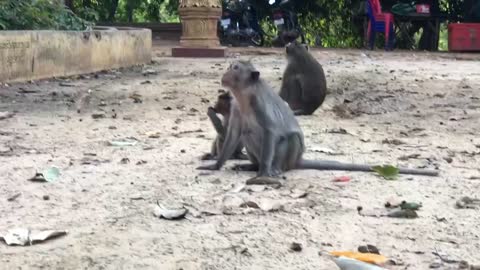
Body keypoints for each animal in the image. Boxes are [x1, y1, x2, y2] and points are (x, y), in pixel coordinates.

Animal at [197, 60, 440, 179]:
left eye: (235, 68)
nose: (225, 73)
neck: (244, 95)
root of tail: (297, 161)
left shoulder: (258, 105)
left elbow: (272, 131)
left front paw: (265, 171)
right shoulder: (237, 108)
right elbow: (234, 135)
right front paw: (216, 165)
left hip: (290, 156)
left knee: (288, 139)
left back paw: (274, 169)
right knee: (248, 134)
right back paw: (250, 165)